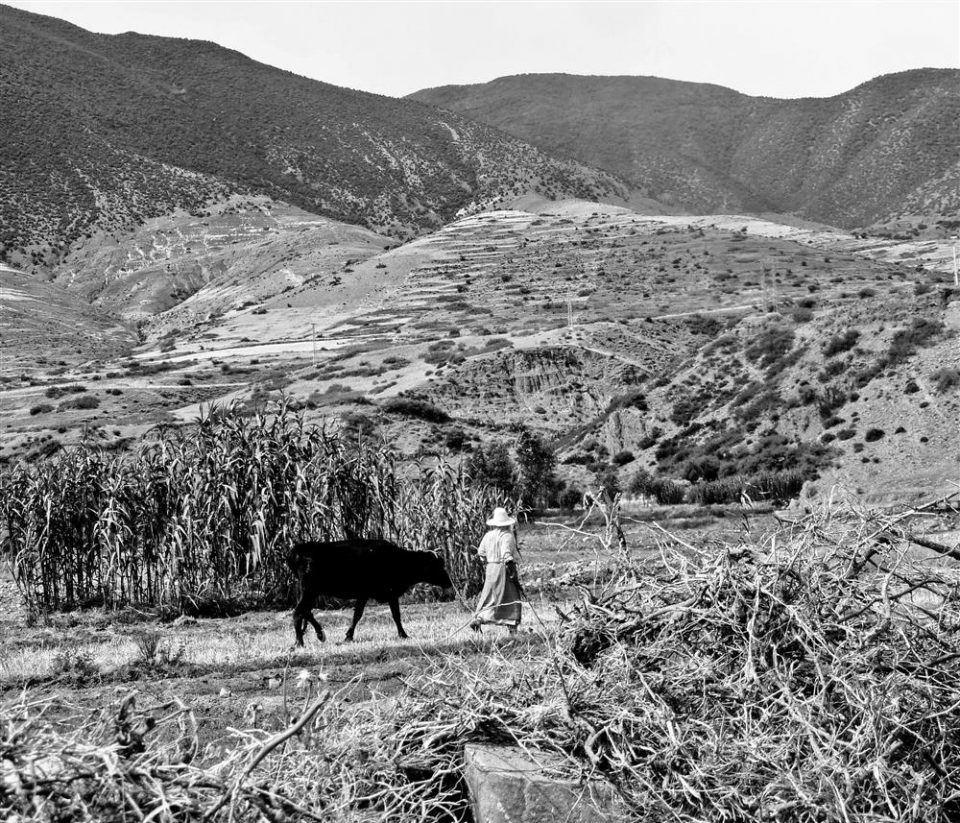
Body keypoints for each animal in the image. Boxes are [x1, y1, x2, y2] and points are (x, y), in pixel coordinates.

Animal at [287, 538, 453, 645]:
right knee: (298, 612)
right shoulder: (386, 594)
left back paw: (315, 635)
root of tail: (299, 549)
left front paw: (348, 636)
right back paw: (300, 642)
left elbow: (358, 615)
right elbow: (393, 615)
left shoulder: (367, 595)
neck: (398, 559)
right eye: (437, 565)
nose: (449, 581)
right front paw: (403, 635)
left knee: (305, 611)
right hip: (309, 591)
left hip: (308, 591)